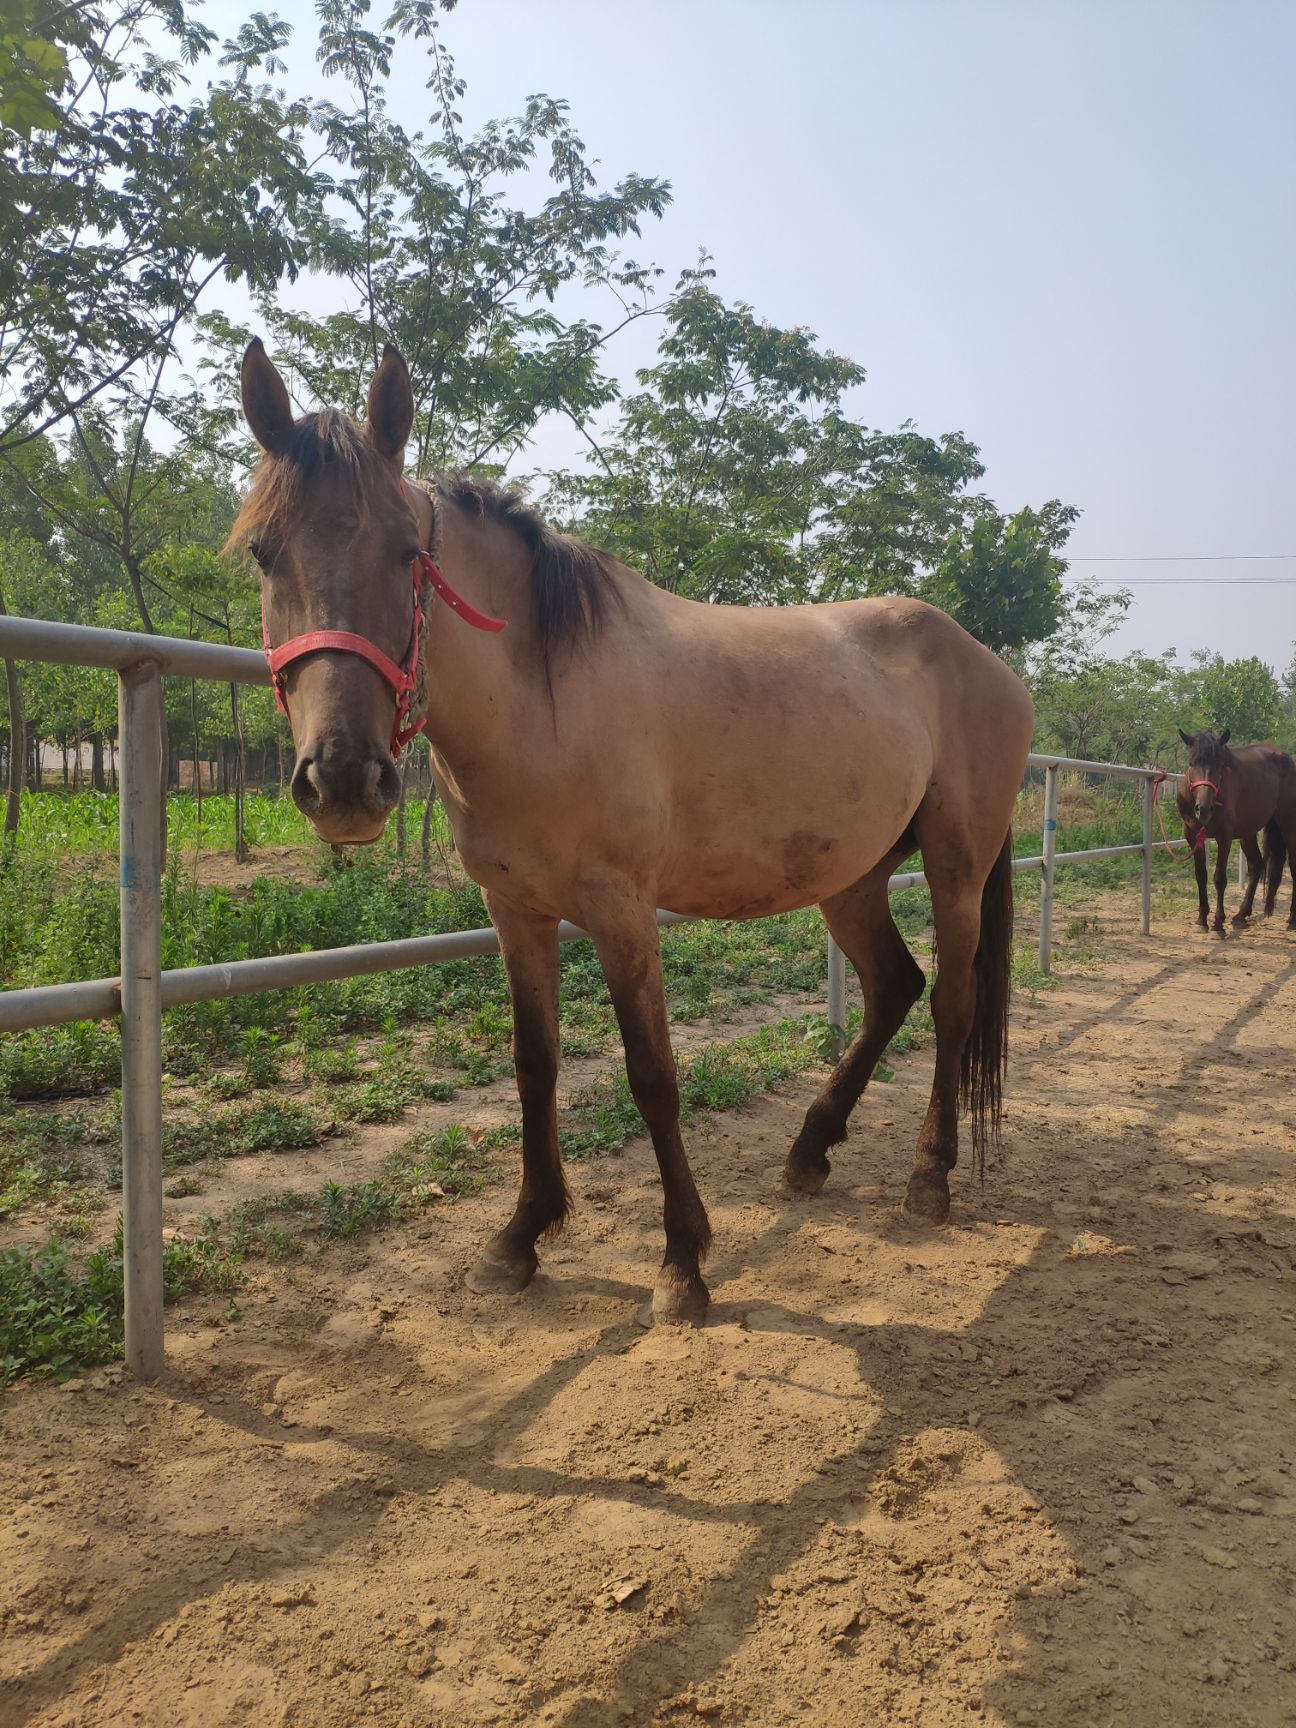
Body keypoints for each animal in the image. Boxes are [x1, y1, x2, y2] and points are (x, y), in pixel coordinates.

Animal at [231, 339, 1035, 1326]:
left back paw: (930, 1176)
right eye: (264, 554)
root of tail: (987, 661)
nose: (343, 780)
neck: (542, 695)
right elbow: (533, 1065)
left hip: (958, 869)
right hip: (852, 879)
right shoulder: (516, 911)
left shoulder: (620, 912)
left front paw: (682, 1263)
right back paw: (811, 1150)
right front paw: (520, 1237)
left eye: (407, 553)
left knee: (953, 1001)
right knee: (896, 988)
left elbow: (652, 1073)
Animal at [1176, 727, 1296, 933]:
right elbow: (1201, 875)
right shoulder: (1193, 836)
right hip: (1248, 832)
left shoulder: (1224, 836)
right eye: (1191, 763)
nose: (1204, 809)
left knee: (1293, 866)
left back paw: (1291, 919)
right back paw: (1241, 915)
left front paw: (1218, 923)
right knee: (1257, 865)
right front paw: (1202, 919)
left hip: (1288, 824)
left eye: (1220, 765)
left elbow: (1219, 878)